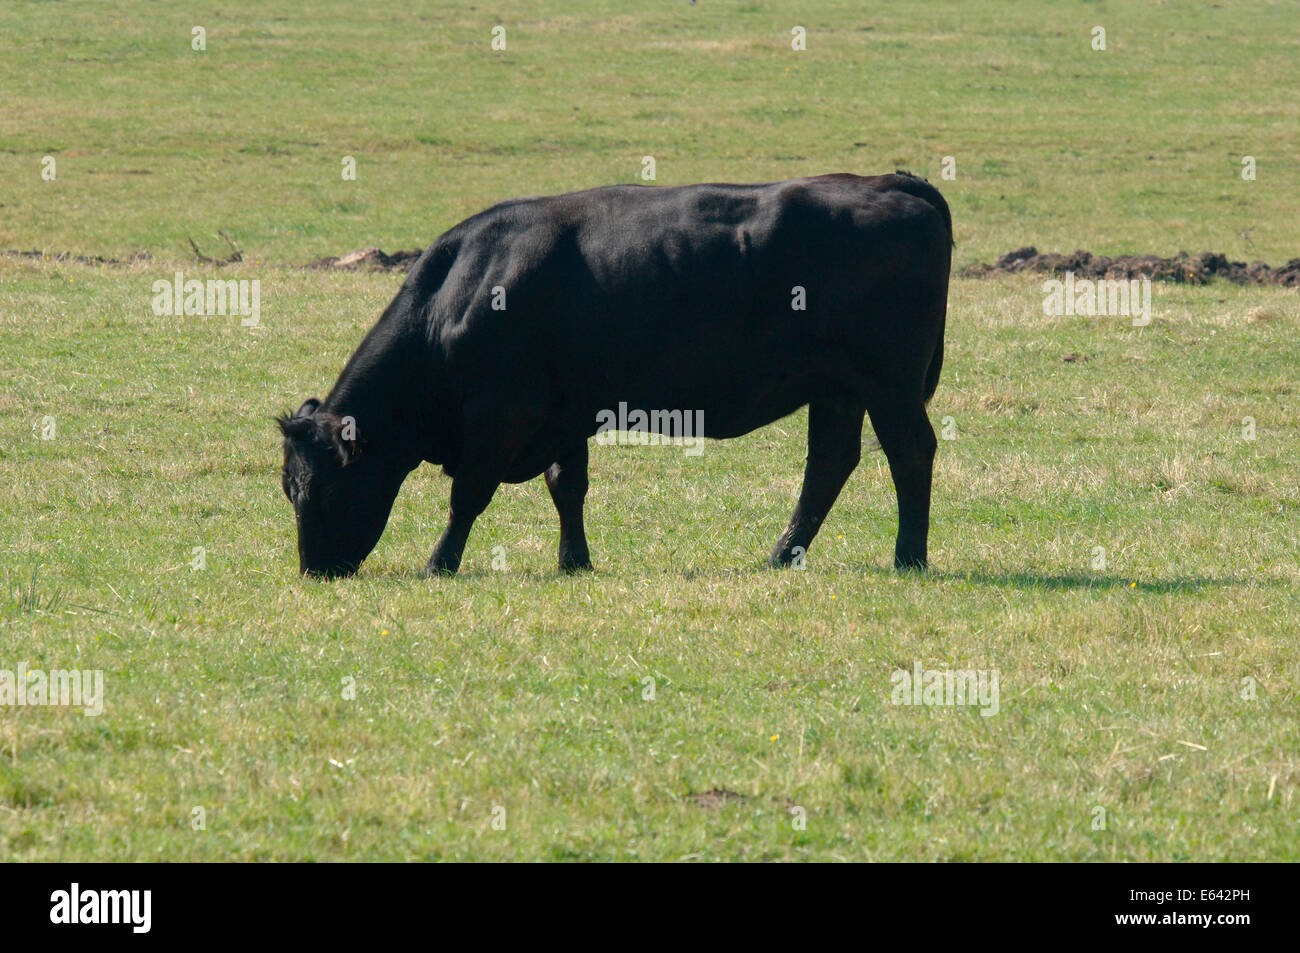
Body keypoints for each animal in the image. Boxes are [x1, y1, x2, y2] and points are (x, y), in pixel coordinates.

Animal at [276, 171, 946, 577]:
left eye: (318, 490)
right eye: (290, 488)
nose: (314, 571)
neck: (460, 292)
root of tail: (891, 183)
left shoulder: (500, 412)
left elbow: (467, 493)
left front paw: (439, 563)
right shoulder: (564, 413)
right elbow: (566, 486)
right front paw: (574, 561)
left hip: (890, 386)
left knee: (910, 452)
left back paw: (908, 556)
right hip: (838, 390)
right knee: (829, 463)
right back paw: (783, 555)